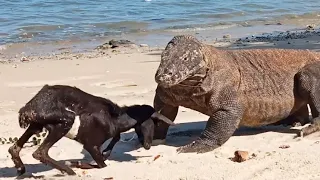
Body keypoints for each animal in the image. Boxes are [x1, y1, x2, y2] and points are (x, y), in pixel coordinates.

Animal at [8, 84, 172, 176]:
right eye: (151, 124)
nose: (148, 146)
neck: (113, 118)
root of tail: (27, 108)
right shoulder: (91, 146)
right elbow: (102, 165)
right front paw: (74, 164)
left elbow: (115, 140)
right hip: (65, 121)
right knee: (40, 152)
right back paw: (68, 171)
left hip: (36, 124)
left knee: (14, 148)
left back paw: (20, 168)